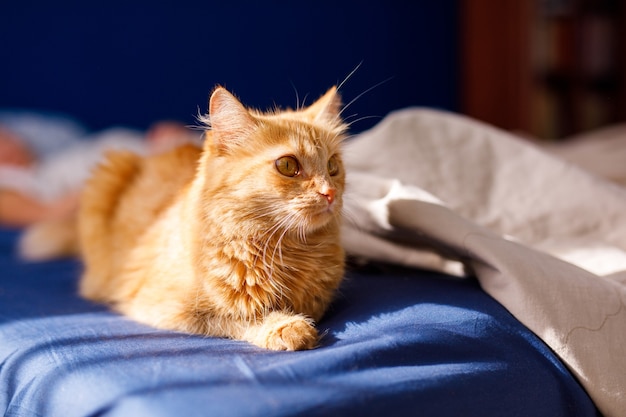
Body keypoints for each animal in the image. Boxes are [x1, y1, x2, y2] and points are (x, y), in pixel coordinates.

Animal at [78, 86, 346, 350]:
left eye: (332, 166)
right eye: (288, 166)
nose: (330, 193)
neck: (289, 250)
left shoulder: (319, 301)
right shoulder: (164, 308)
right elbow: (240, 316)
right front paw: (286, 326)